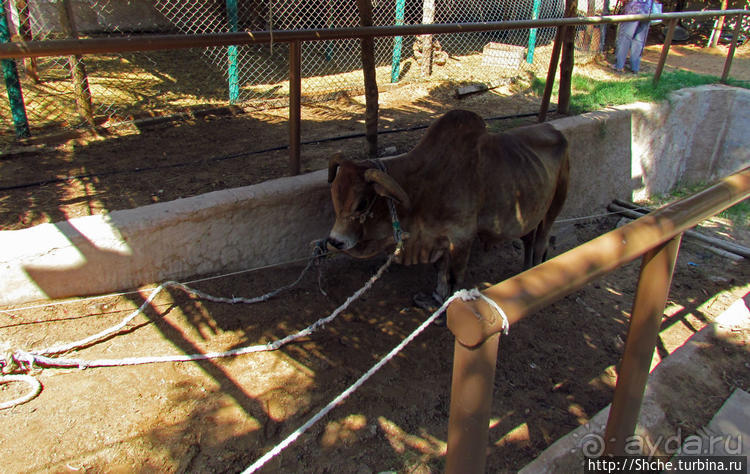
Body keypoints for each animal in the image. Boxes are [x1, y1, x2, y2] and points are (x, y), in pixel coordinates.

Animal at [328, 110, 568, 312]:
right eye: (335, 197)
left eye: (362, 202)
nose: (334, 241)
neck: (422, 185)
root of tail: (554, 129)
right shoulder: (439, 238)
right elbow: (440, 271)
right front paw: (434, 299)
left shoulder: (462, 238)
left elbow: (454, 276)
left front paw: (447, 308)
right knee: (528, 239)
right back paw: (526, 270)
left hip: (557, 202)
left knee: (541, 242)